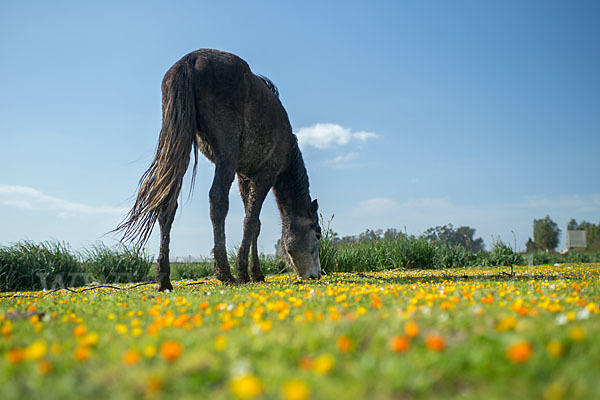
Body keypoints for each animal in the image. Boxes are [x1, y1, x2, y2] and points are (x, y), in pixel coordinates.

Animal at [115, 49, 322, 290]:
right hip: (226, 154)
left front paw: (256, 273)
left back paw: (164, 279)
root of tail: (190, 59)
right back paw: (226, 273)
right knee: (218, 200)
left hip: (180, 146)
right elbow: (251, 221)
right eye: (317, 233)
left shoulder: (244, 176)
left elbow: (255, 223)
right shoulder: (265, 173)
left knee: (167, 204)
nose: (316, 275)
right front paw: (245, 272)